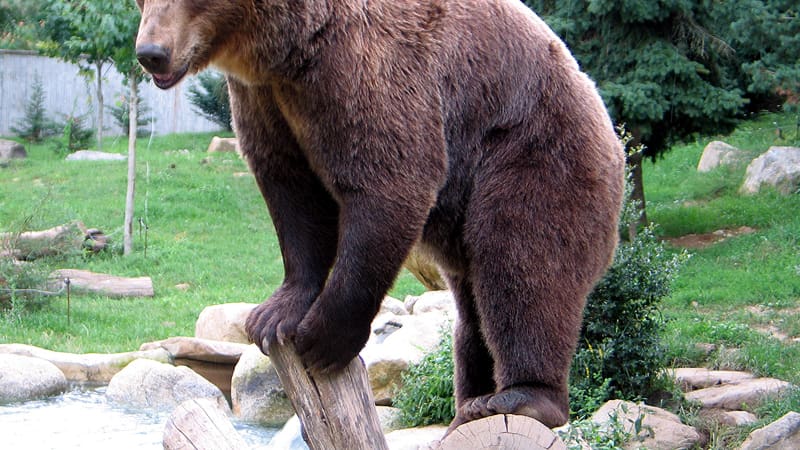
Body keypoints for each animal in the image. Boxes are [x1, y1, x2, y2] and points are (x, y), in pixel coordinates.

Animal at [135, 0, 625, 431]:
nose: (150, 52)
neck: (288, 51)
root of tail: (614, 138)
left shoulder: (365, 69)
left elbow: (389, 181)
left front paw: (324, 338)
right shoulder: (267, 100)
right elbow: (292, 194)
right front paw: (273, 316)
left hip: (533, 152)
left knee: (522, 263)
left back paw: (522, 397)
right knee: (472, 312)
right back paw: (470, 403)